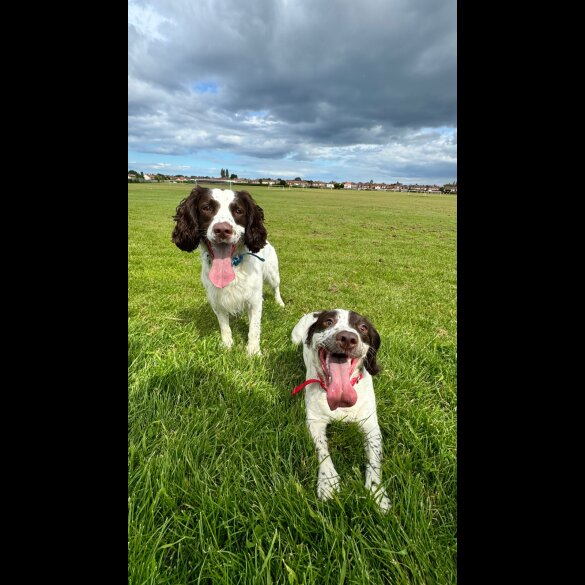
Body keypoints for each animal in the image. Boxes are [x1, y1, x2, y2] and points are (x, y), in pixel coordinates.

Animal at [171, 186, 286, 356]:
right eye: (206, 207)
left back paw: (280, 302)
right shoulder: (217, 300)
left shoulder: (254, 300)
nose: (222, 230)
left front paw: (253, 352)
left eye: (238, 210)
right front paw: (227, 346)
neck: (234, 265)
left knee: (276, 288)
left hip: (273, 274)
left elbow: (254, 328)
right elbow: (224, 326)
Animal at [290, 308, 388, 508]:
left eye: (363, 327)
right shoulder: (315, 422)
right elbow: (322, 450)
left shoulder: (371, 426)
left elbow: (374, 459)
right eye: (328, 321)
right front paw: (328, 482)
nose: (348, 338)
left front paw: (377, 492)